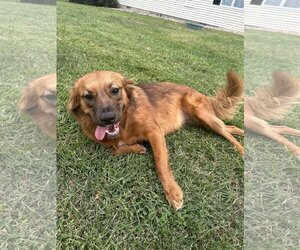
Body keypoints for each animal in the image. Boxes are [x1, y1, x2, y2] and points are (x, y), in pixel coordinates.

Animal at [69, 71, 245, 209]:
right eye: (88, 96)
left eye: (115, 90)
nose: (108, 118)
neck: (126, 121)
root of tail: (203, 95)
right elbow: (115, 148)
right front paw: (137, 147)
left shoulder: (155, 132)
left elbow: (160, 164)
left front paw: (173, 192)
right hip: (201, 121)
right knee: (229, 127)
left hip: (202, 115)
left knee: (226, 131)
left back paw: (242, 150)